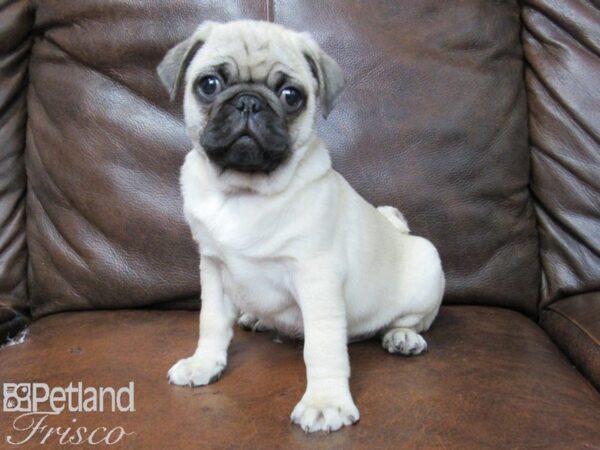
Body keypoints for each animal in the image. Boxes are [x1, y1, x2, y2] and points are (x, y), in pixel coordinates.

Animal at [157, 20, 442, 432]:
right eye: (208, 84)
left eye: (291, 95)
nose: (249, 101)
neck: (244, 192)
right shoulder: (213, 269)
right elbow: (210, 322)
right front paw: (204, 363)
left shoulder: (316, 276)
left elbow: (321, 347)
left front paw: (325, 402)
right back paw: (256, 318)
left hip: (427, 265)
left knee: (411, 320)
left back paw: (403, 337)